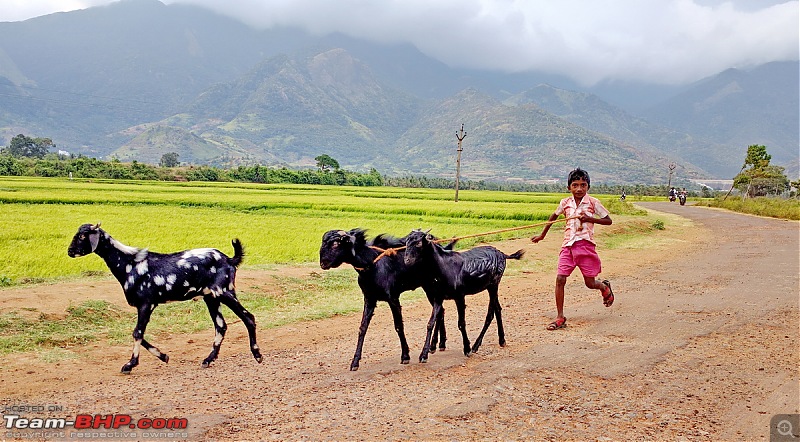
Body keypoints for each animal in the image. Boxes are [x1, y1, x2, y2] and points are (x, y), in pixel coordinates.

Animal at [67, 224, 262, 372]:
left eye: (83, 236)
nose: (69, 251)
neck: (130, 264)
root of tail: (229, 259)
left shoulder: (146, 304)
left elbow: (137, 333)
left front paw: (130, 364)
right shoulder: (146, 306)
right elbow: (138, 333)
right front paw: (163, 356)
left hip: (224, 292)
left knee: (248, 317)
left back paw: (257, 355)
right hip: (211, 297)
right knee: (221, 326)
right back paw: (208, 359)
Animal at [320, 230, 450, 372]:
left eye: (336, 243)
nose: (323, 263)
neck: (372, 264)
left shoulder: (393, 298)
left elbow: (399, 326)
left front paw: (405, 356)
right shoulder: (369, 299)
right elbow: (362, 328)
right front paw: (355, 362)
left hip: (430, 286)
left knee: (438, 310)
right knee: (441, 311)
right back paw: (438, 344)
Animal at [400, 228, 524, 362]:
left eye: (418, 243)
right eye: (406, 242)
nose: (407, 261)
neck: (444, 267)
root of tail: (502, 254)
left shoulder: (459, 296)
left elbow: (461, 323)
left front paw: (467, 348)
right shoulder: (438, 297)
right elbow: (430, 323)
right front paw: (424, 355)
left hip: (494, 284)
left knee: (490, 313)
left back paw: (475, 345)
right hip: (491, 287)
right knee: (498, 309)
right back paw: (501, 340)